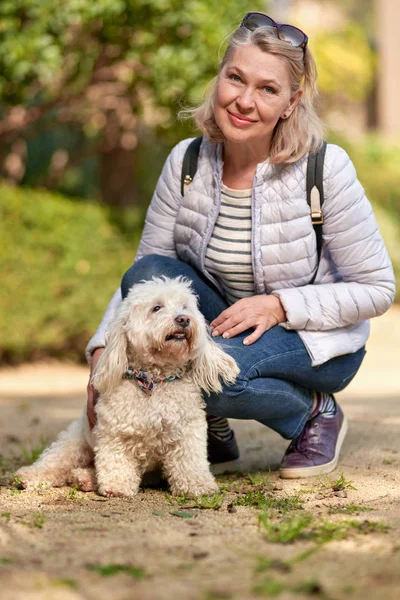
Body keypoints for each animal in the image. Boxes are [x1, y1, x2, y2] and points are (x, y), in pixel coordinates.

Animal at [17, 276, 239, 496]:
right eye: (156, 308)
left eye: (185, 307)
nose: (184, 319)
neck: (154, 380)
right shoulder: (115, 432)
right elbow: (116, 460)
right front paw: (117, 485)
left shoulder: (187, 431)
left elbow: (190, 461)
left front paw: (198, 485)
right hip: (74, 444)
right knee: (55, 462)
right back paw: (31, 476)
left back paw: (85, 478)